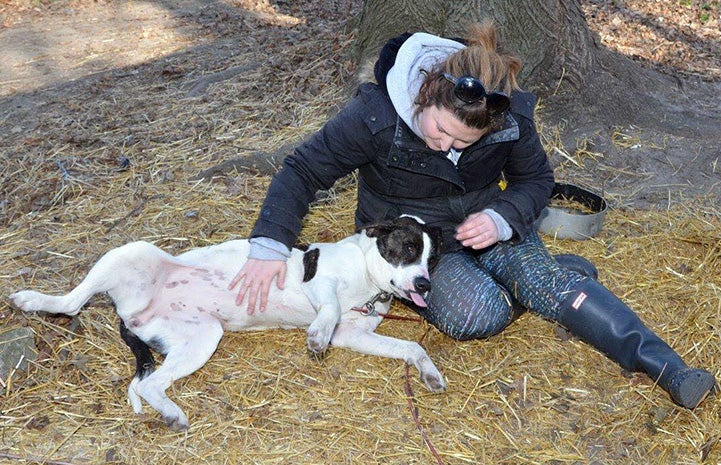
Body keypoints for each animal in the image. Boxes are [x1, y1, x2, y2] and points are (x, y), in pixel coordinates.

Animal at [11, 216, 448, 430]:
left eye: (433, 258)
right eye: (408, 249)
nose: (425, 283)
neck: (369, 278)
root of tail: (132, 313)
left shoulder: (354, 335)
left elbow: (411, 347)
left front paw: (429, 373)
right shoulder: (320, 282)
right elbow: (329, 308)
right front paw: (317, 334)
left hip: (201, 336)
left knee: (148, 383)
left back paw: (170, 413)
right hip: (131, 253)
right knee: (70, 303)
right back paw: (31, 299)